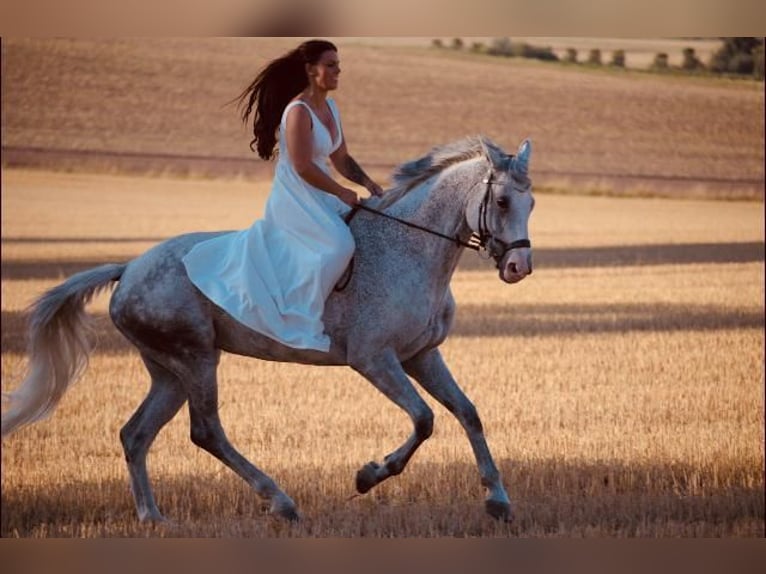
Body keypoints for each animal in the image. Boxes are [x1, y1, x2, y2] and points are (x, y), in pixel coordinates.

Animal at [1, 137, 536, 524]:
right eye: (502, 200)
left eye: (531, 203)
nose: (519, 268)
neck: (410, 249)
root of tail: (128, 269)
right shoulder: (374, 359)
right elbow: (424, 419)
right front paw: (368, 476)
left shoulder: (421, 356)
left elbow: (467, 413)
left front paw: (499, 500)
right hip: (197, 359)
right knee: (205, 431)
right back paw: (280, 501)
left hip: (169, 372)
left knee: (135, 434)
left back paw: (153, 517)